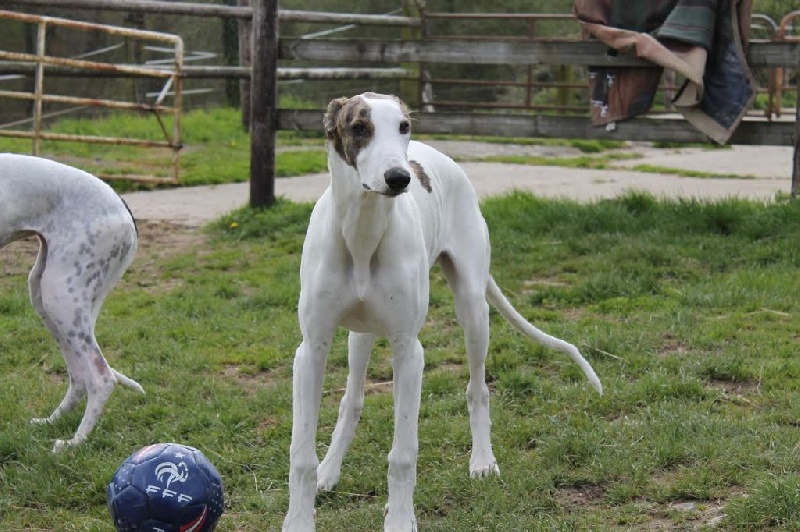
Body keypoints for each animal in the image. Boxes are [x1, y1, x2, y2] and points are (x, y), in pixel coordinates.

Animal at [0, 154, 143, 452]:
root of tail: (123, 210)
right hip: (46, 296)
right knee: (79, 376)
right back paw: (51, 422)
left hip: (60, 295)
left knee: (101, 376)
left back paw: (75, 442)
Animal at [283, 93, 603, 531]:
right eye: (359, 127)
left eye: (403, 126)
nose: (399, 178)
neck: (363, 235)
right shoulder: (311, 349)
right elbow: (302, 454)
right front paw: (300, 516)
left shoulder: (408, 351)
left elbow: (403, 454)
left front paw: (400, 519)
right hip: (360, 334)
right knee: (352, 400)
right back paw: (331, 471)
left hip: (472, 310)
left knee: (477, 388)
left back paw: (482, 461)